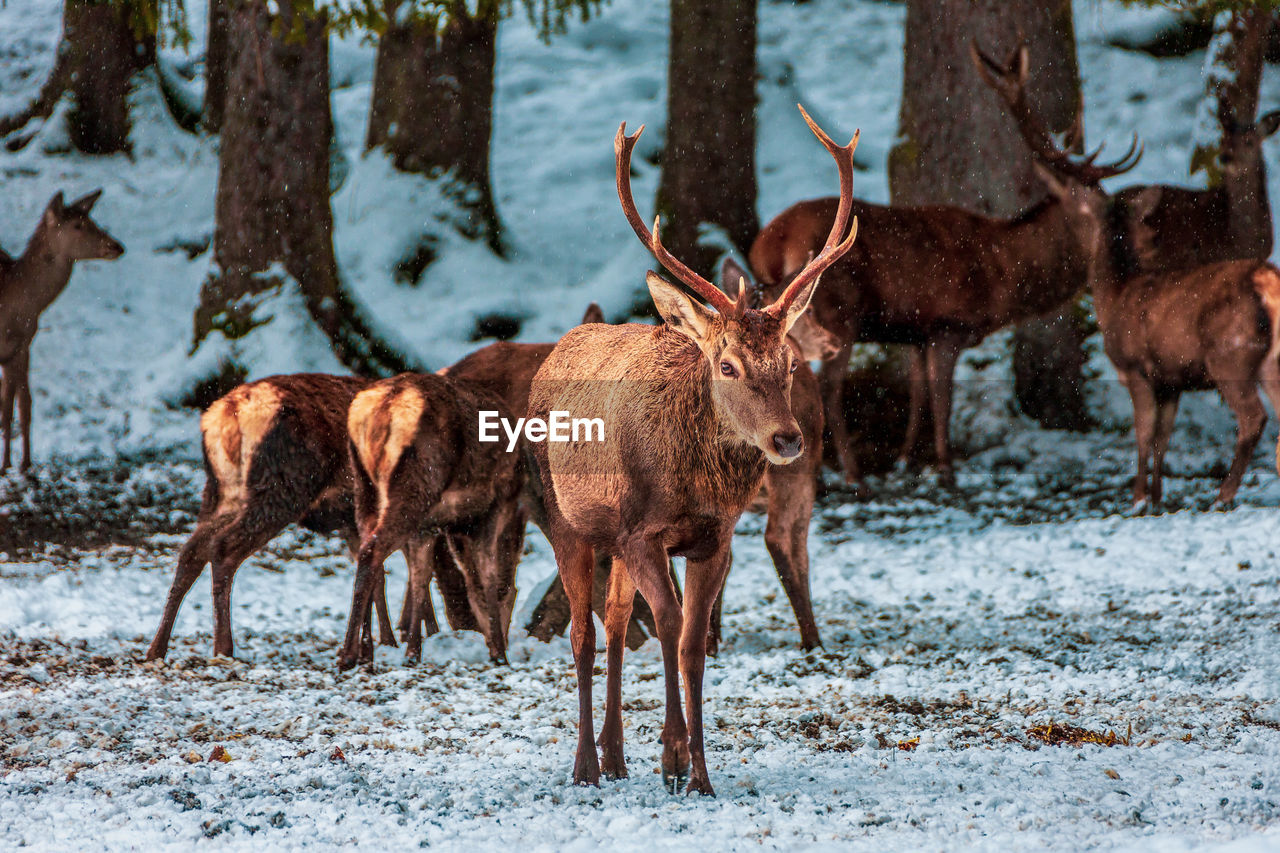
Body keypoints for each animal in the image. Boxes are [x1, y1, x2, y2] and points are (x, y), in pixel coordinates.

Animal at [337, 371, 527, 666]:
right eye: (512, 595)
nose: (500, 638)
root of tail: (383, 408)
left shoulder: (429, 526)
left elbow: (421, 576)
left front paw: (414, 649)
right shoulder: (491, 509)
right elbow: (487, 574)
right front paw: (498, 653)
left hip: (364, 484)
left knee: (367, 551)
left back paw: (365, 651)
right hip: (417, 482)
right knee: (372, 550)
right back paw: (348, 654)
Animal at [524, 104, 855, 788]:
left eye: (788, 363)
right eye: (727, 365)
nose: (788, 438)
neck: (690, 482)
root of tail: (559, 348)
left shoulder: (713, 536)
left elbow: (693, 642)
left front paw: (697, 771)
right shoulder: (642, 531)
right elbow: (672, 626)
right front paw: (674, 756)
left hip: (615, 542)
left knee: (615, 626)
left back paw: (617, 757)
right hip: (565, 521)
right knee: (582, 636)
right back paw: (585, 765)